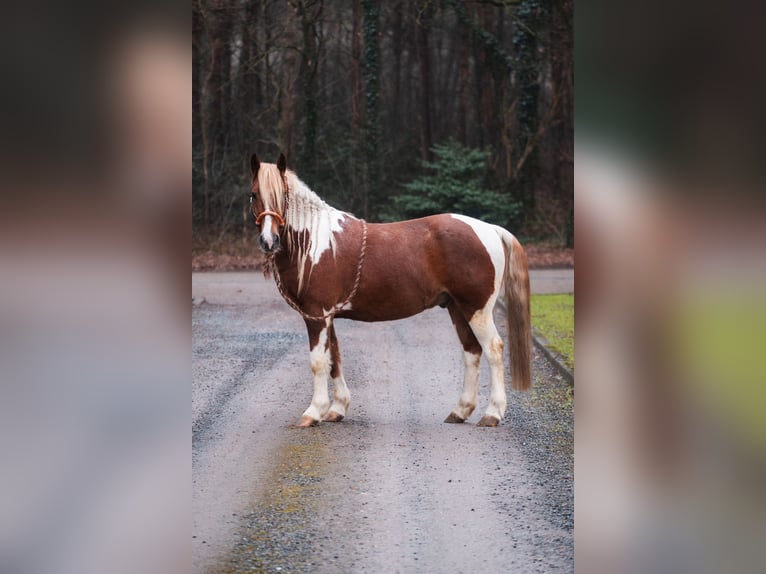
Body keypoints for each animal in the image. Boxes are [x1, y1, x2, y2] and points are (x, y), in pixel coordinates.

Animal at [250, 152, 531, 428]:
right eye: (253, 194)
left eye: (282, 196)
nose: (269, 241)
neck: (314, 241)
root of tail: (490, 229)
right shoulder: (328, 315)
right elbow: (335, 360)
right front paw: (337, 409)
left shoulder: (316, 315)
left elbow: (319, 362)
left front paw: (313, 412)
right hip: (457, 308)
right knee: (471, 351)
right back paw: (460, 411)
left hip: (476, 309)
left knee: (493, 349)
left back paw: (492, 414)